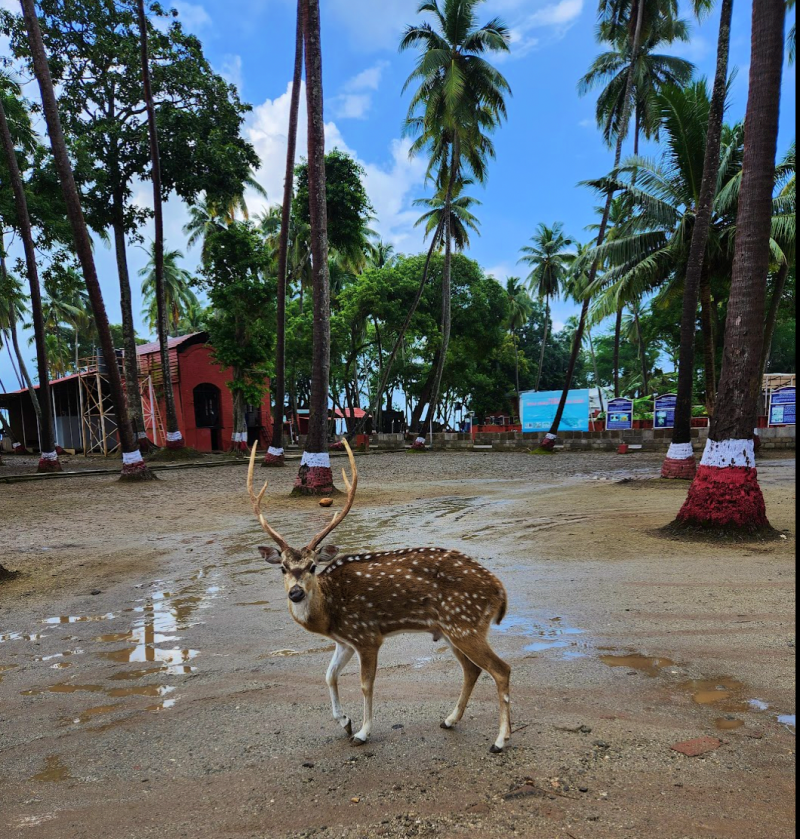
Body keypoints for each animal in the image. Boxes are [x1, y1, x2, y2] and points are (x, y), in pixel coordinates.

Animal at [247, 441, 512, 753]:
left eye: (312, 566)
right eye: (283, 568)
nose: (296, 592)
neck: (330, 614)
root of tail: (499, 589)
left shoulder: (367, 635)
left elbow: (366, 684)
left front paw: (362, 732)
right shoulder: (345, 641)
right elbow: (329, 675)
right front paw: (345, 722)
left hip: (465, 623)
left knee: (501, 669)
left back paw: (500, 740)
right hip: (452, 629)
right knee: (472, 670)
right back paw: (449, 720)